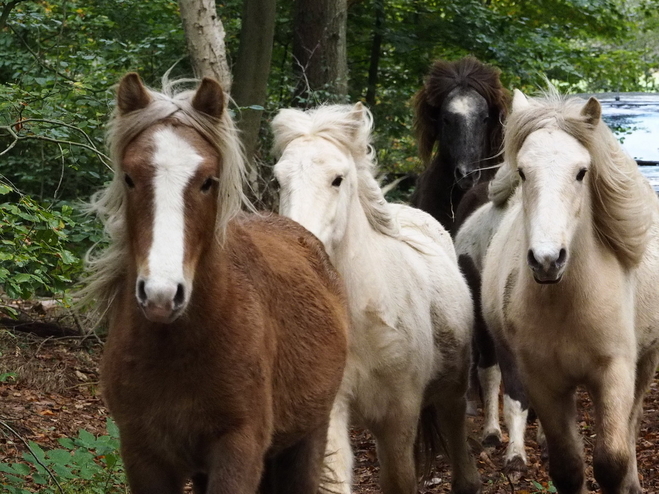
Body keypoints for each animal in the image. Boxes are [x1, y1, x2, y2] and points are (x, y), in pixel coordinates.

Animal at [81, 73, 350, 494]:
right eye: (129, 178)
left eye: (208, 181)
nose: (161, 295)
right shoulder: (142, 454)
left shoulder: (239, 450)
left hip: (308, 438)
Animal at [270, 103, 482, 494]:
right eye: (278, 180)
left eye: (337, 179)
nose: (294, 250)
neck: (361, 318)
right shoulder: (331, 408)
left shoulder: (399, 414)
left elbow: (399, 479)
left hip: (454, 387)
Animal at [480, 89, 659, 494]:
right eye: (522, 172)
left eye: (581, 172)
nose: (547, 260)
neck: (568, 303)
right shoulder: (543, 381)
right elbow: (567, 467)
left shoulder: (614, 373)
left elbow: (611, 460)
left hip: (646, 361)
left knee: (633, 421)